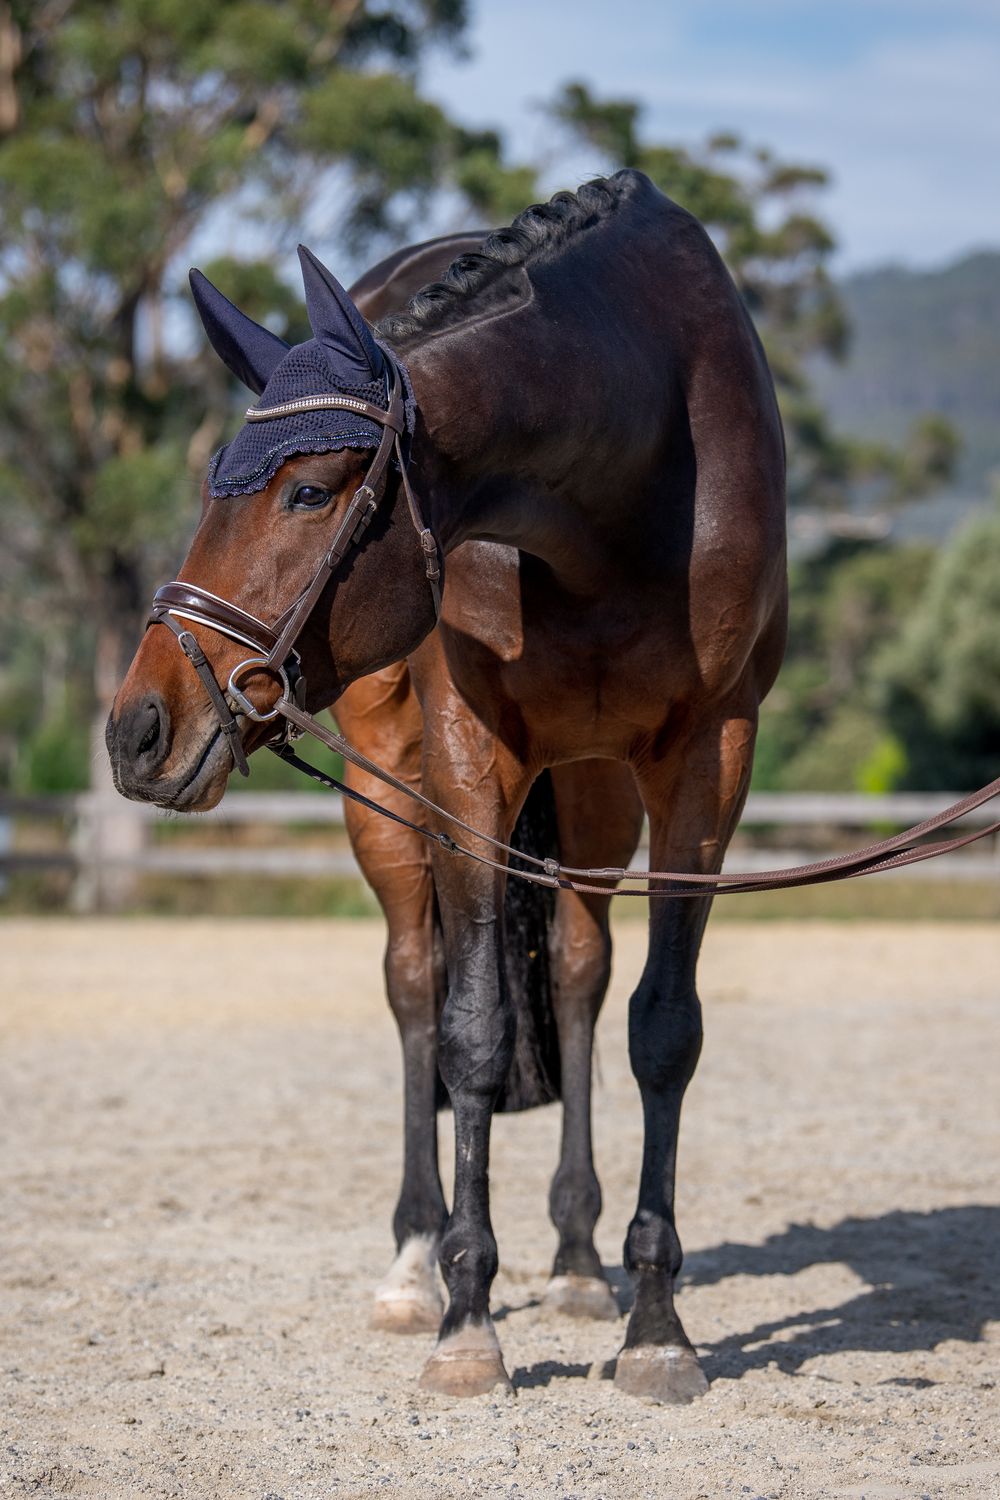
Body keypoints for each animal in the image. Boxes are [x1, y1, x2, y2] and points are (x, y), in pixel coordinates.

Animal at [106, 169, 787, 1404]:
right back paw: (416, 1262)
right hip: (388, 780)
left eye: (310, 491)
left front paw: (655, 1324)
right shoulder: (472, 755)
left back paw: (576, 1260)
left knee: (577, 971)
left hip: (596, 790)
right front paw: (469, 1320)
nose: (138, 730)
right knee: (417, 985)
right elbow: (470, 1030)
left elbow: (662, 1027)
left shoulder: (711, 756)